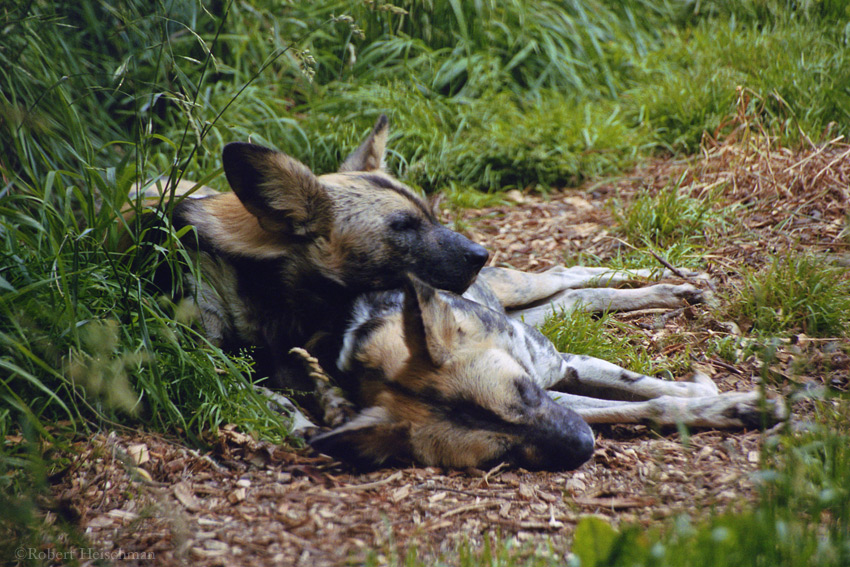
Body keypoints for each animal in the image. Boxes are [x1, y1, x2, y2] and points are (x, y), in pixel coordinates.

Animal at [304, 270, 780, 470]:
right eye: (501, 455)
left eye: (526, 393)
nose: (584, 447)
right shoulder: (564, 399)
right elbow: (650, 405)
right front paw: (727, 405)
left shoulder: (563, 368)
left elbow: (648, 389)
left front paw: (712, 393)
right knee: (576, 295)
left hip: (523, 285)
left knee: (571, 272)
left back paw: (676, 284)